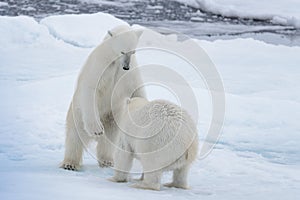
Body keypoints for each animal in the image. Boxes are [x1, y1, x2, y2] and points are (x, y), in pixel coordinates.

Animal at [60, 24, 145, 170]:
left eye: (133, 52)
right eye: (122, 51)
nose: (126, 67)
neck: (114, 61)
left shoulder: (129, 73)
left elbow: (137, 90)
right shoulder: (100, 66)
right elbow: (91, 89)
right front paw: (97, 130)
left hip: (112, 117)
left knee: (109, 140)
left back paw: (107, 161)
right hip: (77, 115)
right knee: (74, 137)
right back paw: (70, 163)